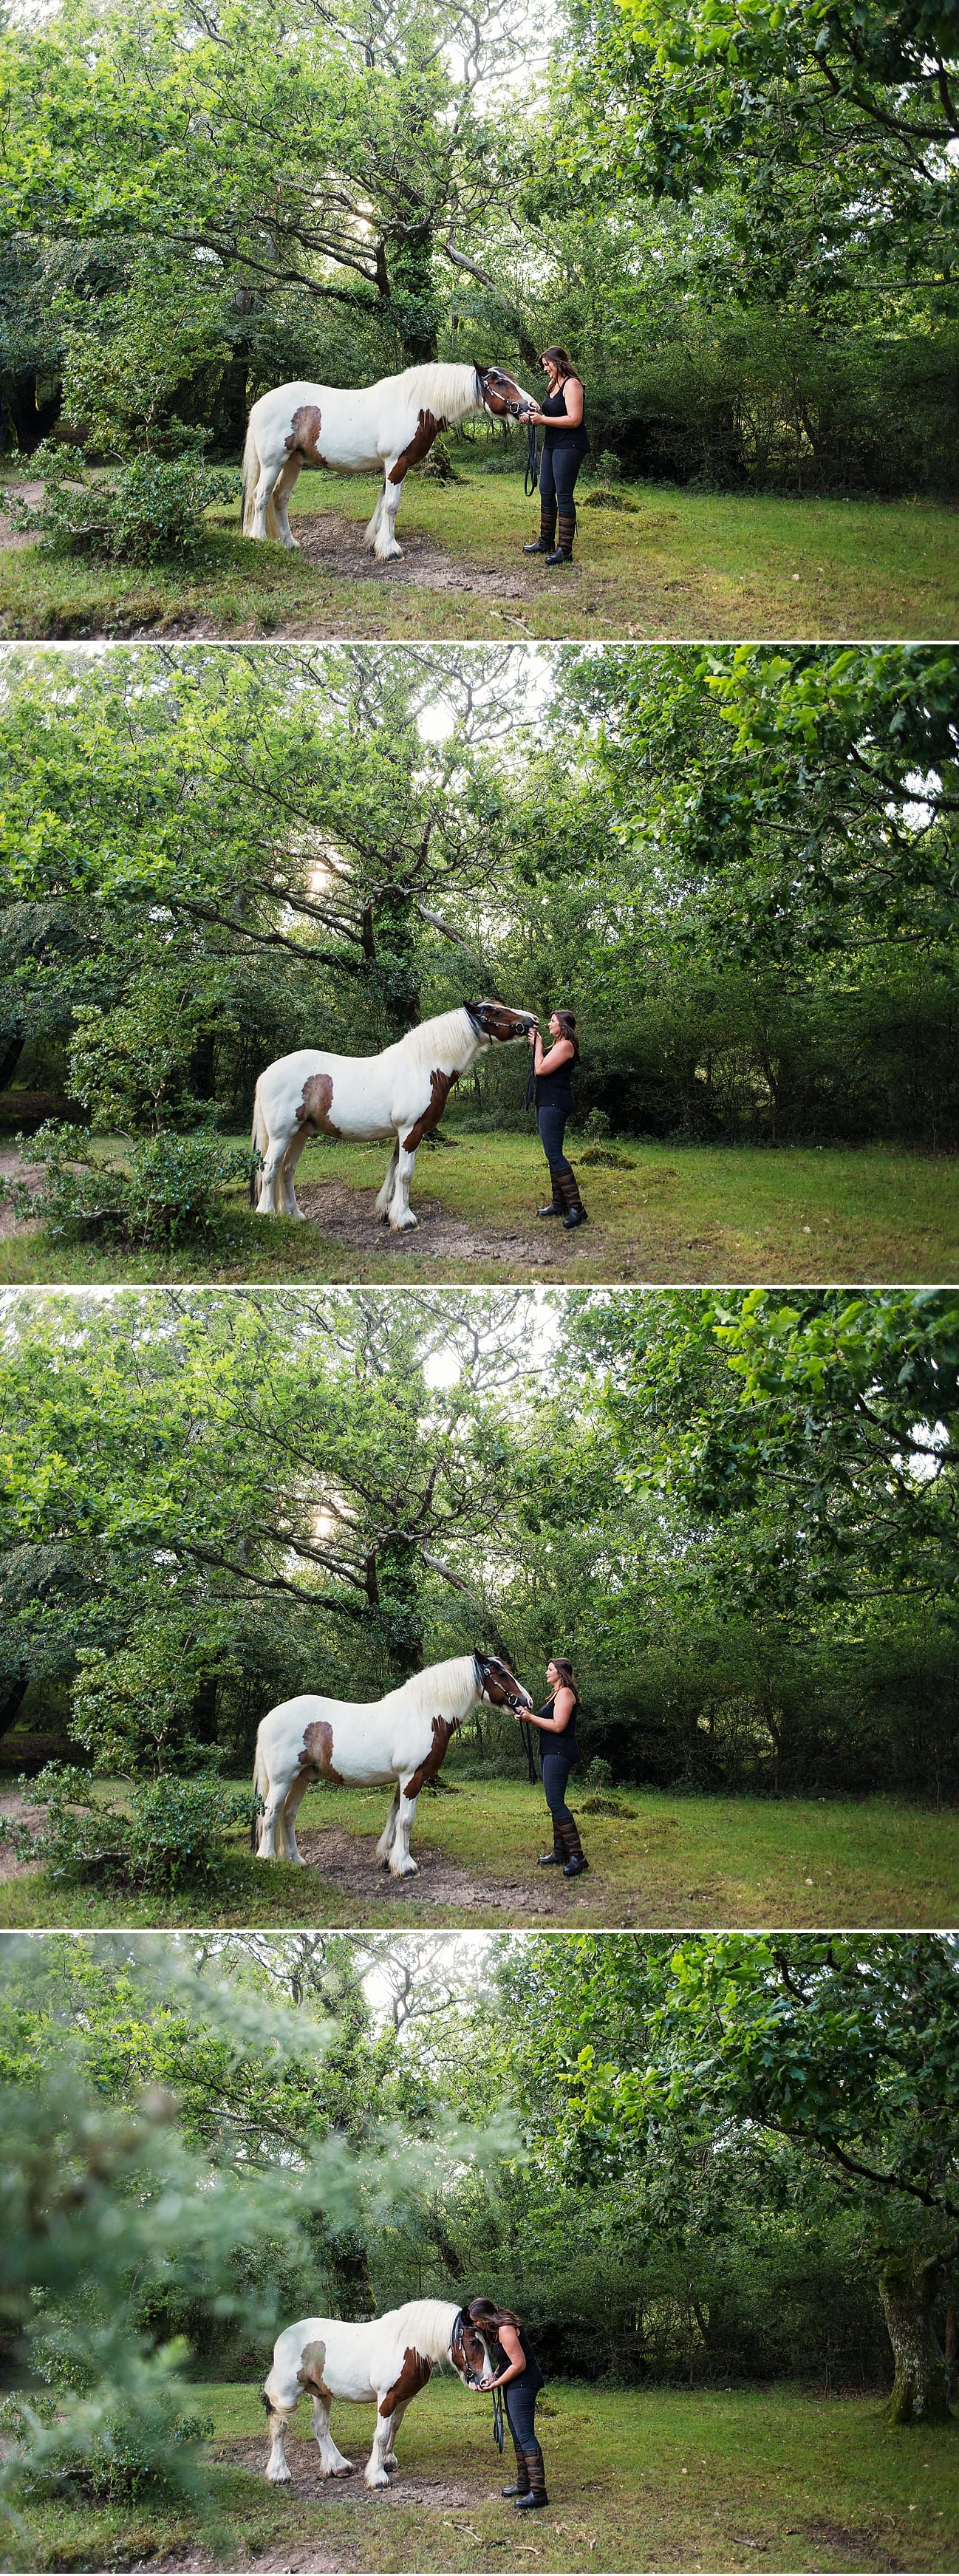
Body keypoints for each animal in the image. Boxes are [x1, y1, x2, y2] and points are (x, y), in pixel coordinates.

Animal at [241, 360, 535, 560]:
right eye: (499, 383)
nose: (531, 406)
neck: (414, 406)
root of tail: (260, 403)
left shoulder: (391, 467)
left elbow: (382, 503)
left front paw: (376, 542)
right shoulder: (396, 464)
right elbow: (392, 506)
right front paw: (391, 550)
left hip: (293, 462)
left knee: (280, 499)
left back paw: (289, 543)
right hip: (273, 463)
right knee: (261, 496)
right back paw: (259, 539)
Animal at [250, 997, 537, 1230]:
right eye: (494, 1011)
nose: (532, 1021)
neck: (424, 1067)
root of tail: (267, 1073)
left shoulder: (403, 1133)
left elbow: (394, 1169)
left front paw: (387, 1212)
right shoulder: (411, 1130)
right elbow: (405, 1173)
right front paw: (404, 1219)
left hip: (300, 1133)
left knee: (288, 1170)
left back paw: (295, 1215)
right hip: (282, 1135)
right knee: (270, 1168)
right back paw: (267, 1214)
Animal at [252, 1649, 533, 1874]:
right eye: (501, 1674)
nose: (527, 1702)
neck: (424, 1715)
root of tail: (268, 1718)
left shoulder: (405, 1779)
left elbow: (394, 1816)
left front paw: (388, 1858)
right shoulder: (412, 1777)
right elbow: (406, 1820)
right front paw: (405, 1866)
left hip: (301, 1778)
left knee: (288, 1815)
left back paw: (295, 1860)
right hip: (282, 1779)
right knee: (271, 1813)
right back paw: (267, 1858)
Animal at [262, 2299, 498, 2491]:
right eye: (473, 2342)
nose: (486, 2380)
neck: (407, 2345)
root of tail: (284, 2336)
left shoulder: (404, 2398)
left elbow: (394, 2427)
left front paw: (388, 2461)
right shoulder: (386, 2397)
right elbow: (382, 2435)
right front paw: (377, 2477)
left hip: (322, 2393)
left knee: (320, 2427)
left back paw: (338, 2466)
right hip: (287, 2395)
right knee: (279, 2428)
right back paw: (279, 2474)